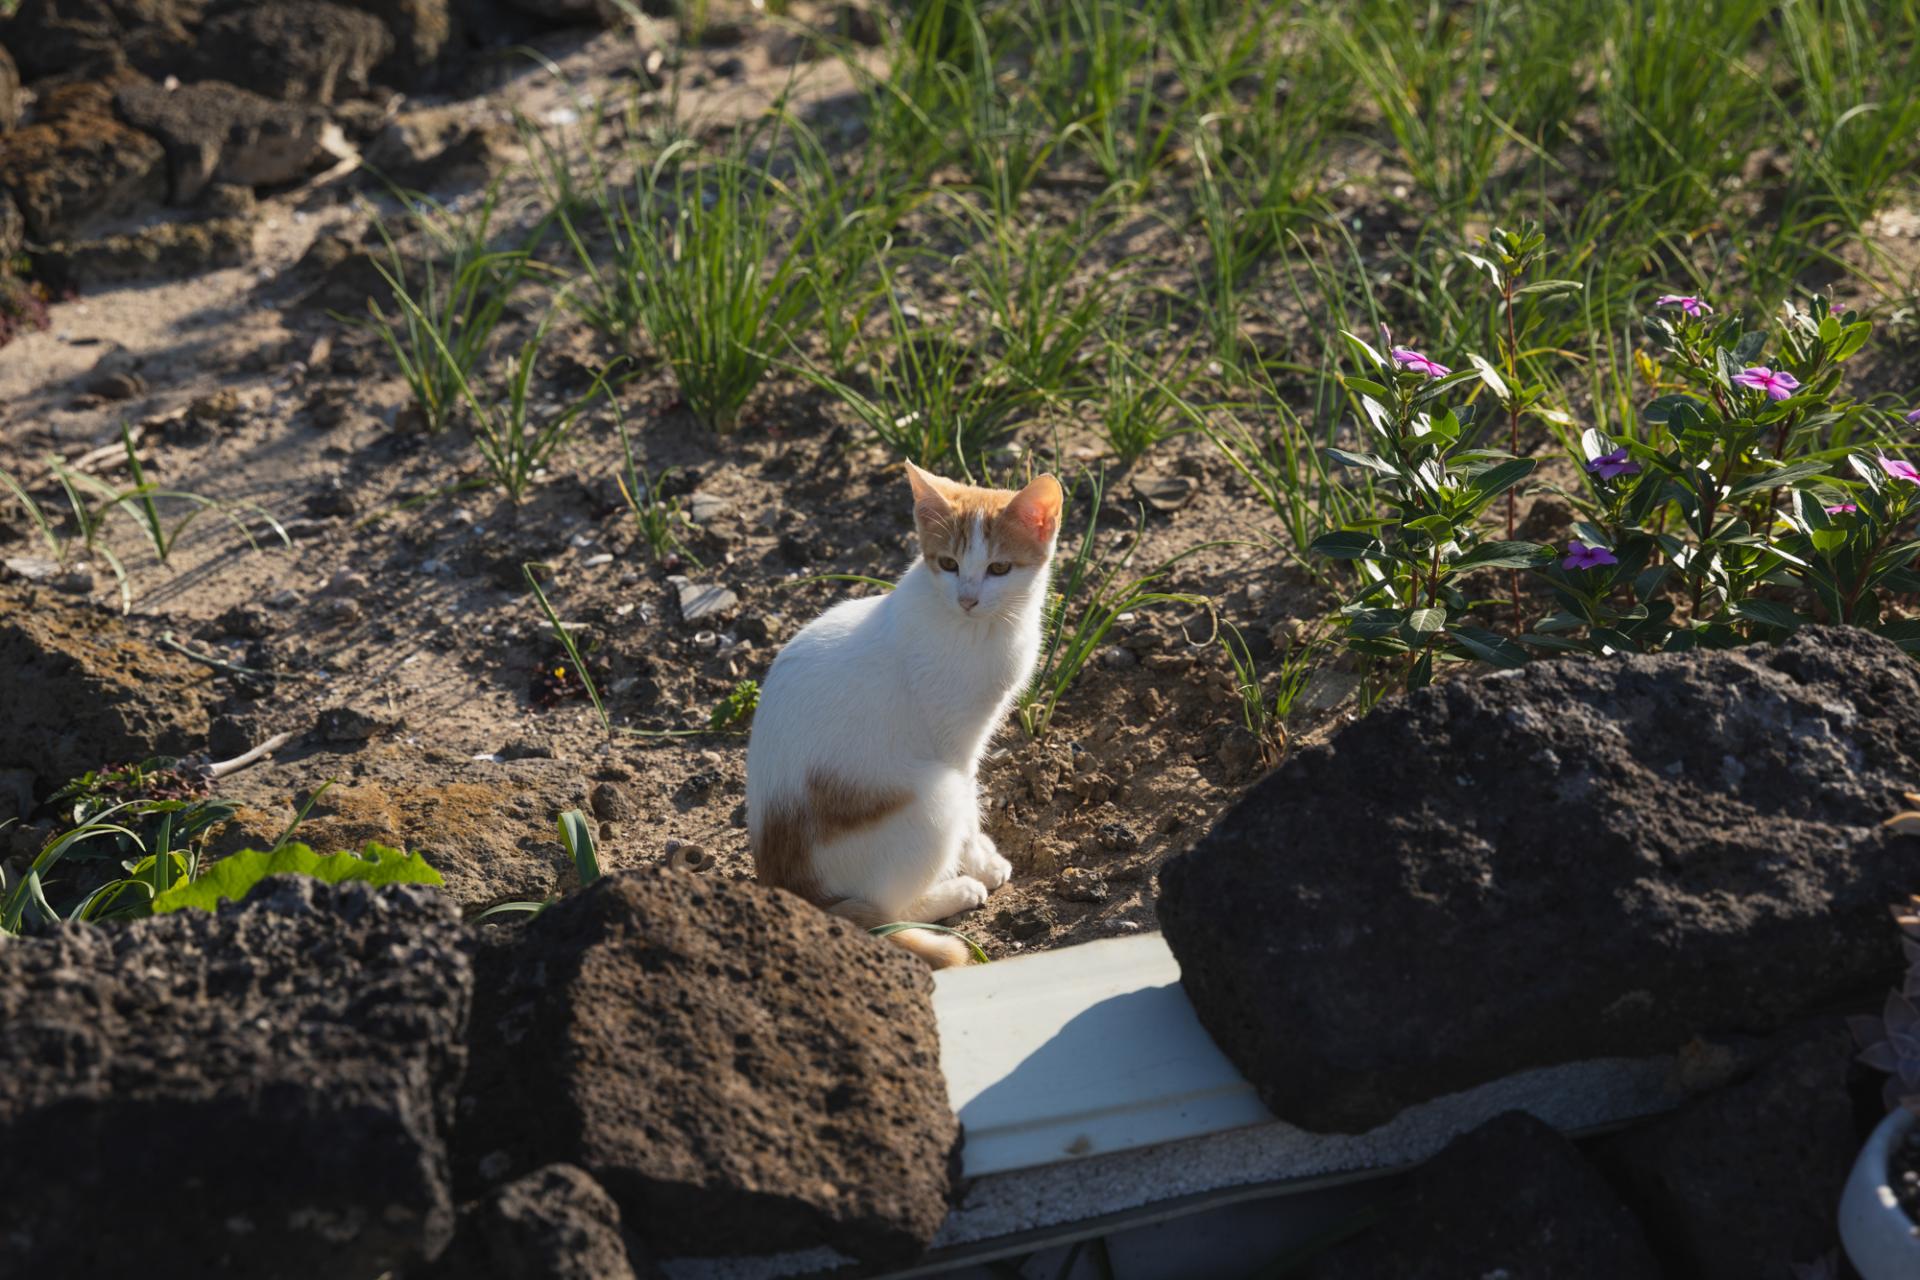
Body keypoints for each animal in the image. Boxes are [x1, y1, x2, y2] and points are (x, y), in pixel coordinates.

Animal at [745, 462, 1064, 967]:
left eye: (999, 568)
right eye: (948, 564)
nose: (968, 599)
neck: (976, 627)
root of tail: (795, 891)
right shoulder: (954, 745)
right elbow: (971, 805)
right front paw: (981, 860)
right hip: (933, 796)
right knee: (889, 909)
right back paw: (955, 892)